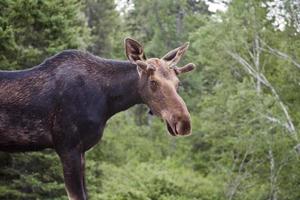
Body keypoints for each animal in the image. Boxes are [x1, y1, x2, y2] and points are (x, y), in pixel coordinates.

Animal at [0, 38, 196, 199]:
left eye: (178, 83)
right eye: (153, 82)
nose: (184, 123)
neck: (107, 102)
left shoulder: (81, 151)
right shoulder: (67, 147)